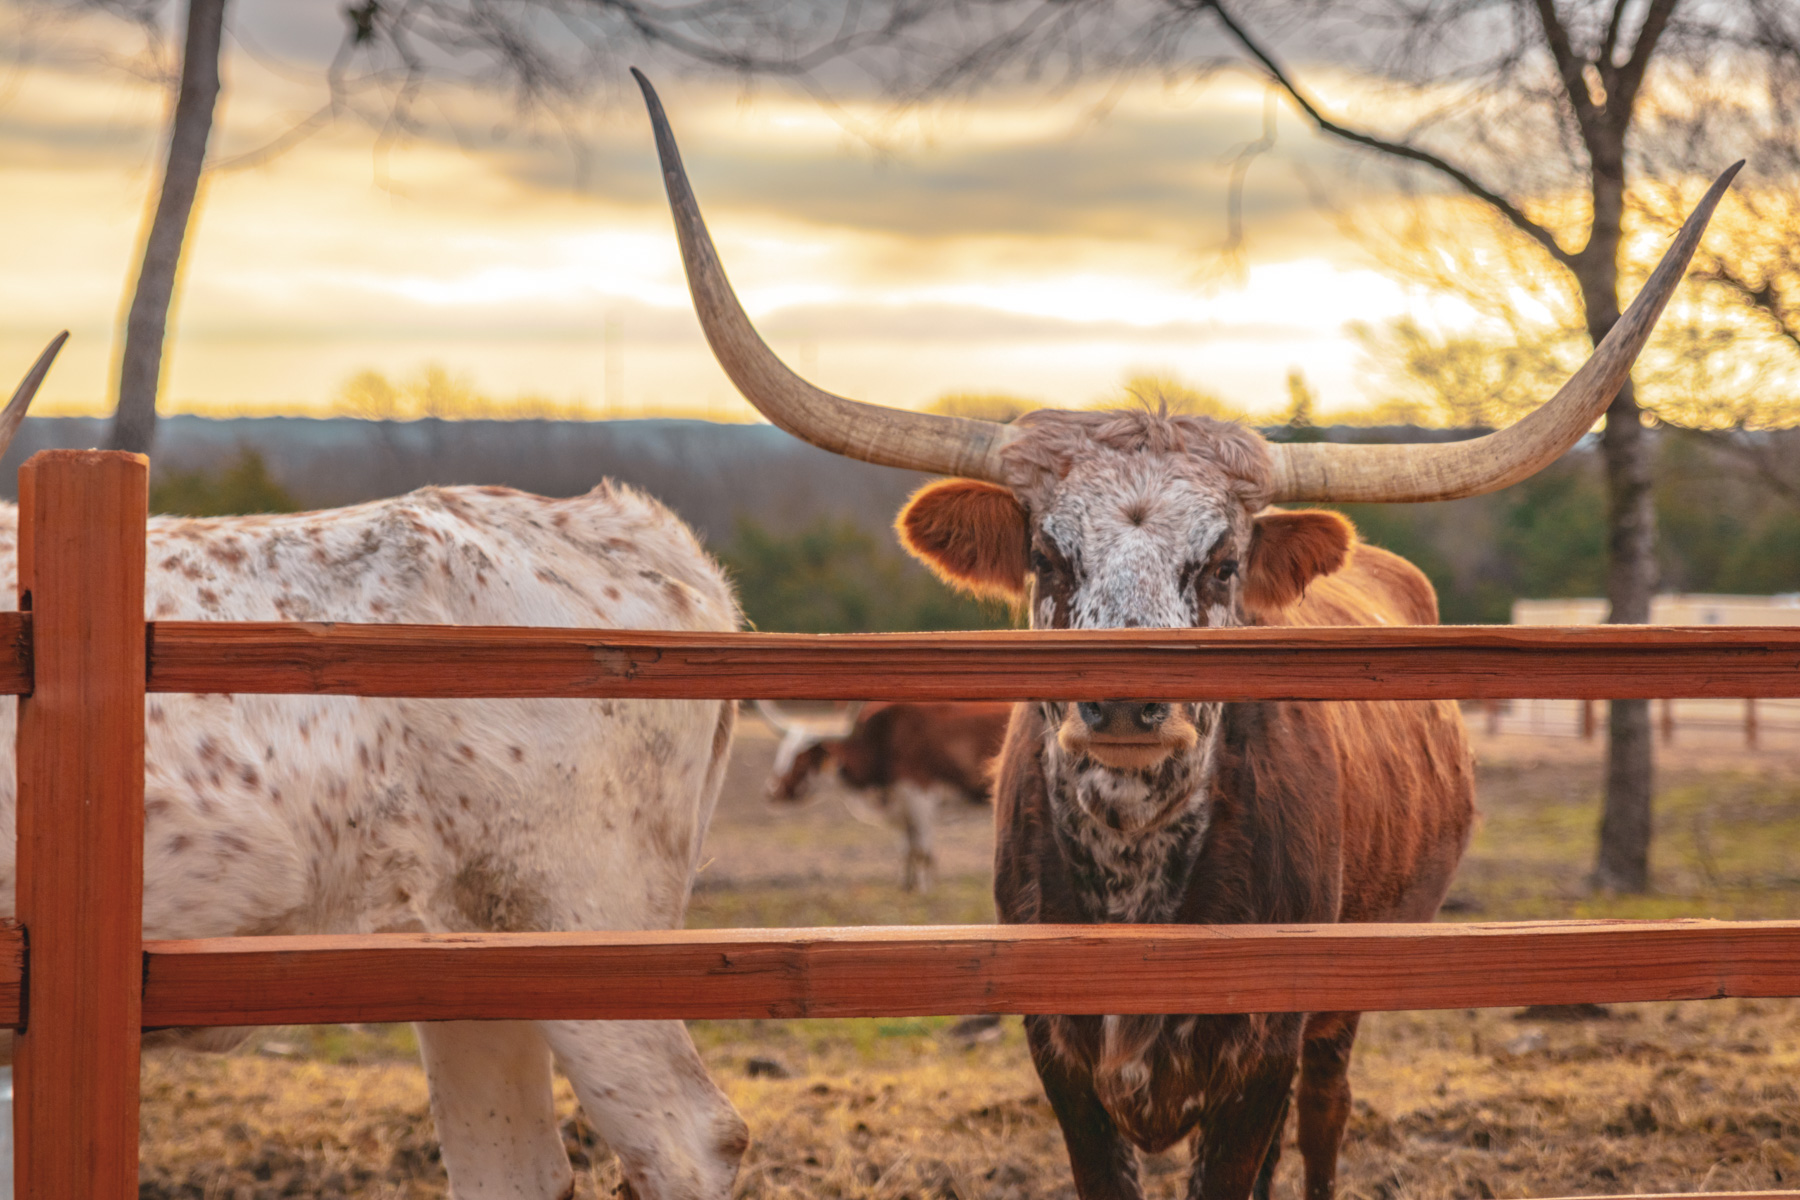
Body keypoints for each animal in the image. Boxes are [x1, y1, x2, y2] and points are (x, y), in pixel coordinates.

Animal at [756, 700, 1011, 890]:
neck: (883, 739)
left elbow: (922, 850)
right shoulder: (899, 803)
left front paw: (924, 888)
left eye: (802, 760)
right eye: (782, 753)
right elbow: (906, 848)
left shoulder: (919, 795)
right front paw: (906, 884)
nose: (771, 791)